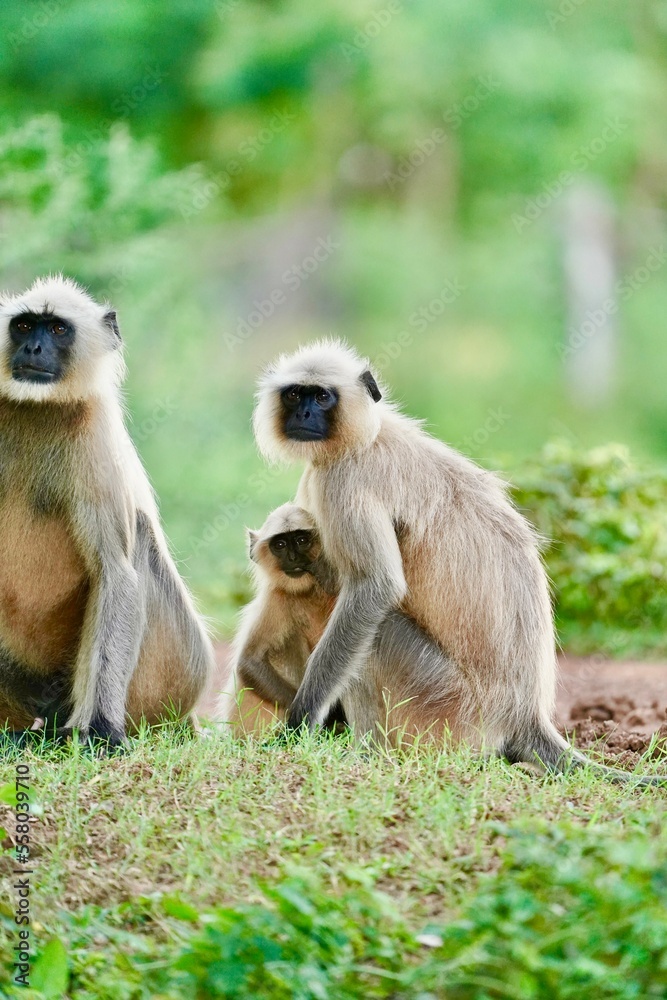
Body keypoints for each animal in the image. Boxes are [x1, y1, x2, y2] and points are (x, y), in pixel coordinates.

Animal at [0, 274, 213, 744]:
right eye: (23, 327)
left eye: (57, 329)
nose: (33, 349)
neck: (36, 409)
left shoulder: (93, 432)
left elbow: (115, 571)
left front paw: (100, 731)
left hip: (173, 671)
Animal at [253, 340, 664, 784]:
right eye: (295, 394)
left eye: (323, 397)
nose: (304, 415)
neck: (369, 436)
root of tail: (525, 716)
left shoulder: (342, 481)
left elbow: (374, 588)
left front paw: (299, 722)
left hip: (448, 705)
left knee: (376, 632)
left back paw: (367, 755)